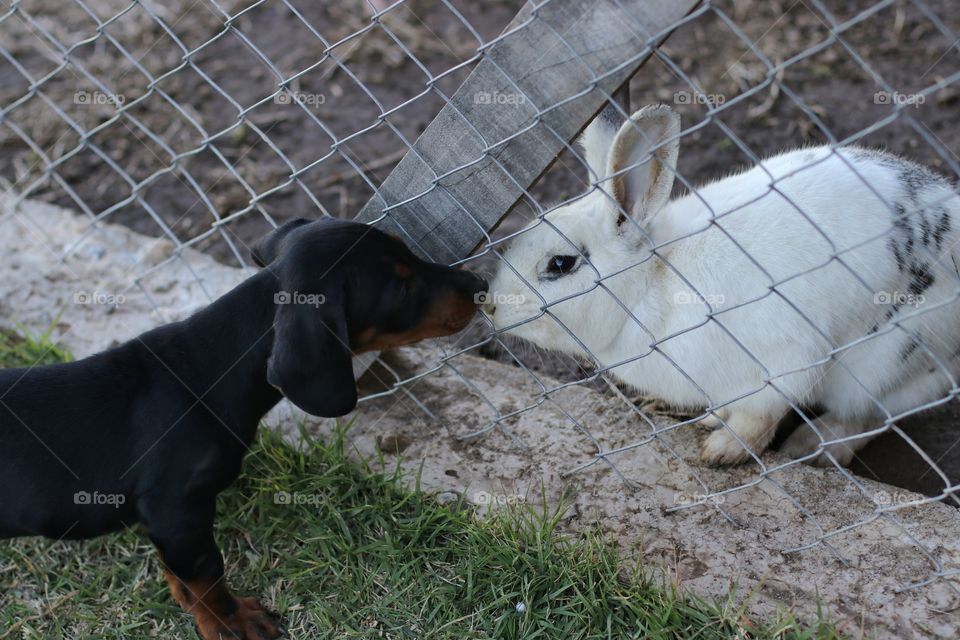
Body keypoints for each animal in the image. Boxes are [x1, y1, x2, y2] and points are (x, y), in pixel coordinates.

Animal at [0, 218, 484, 636]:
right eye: (402, 286)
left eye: (409, 252)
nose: (479, 286)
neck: (207, 368)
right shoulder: (177, 509)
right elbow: (208, 575)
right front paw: (230, 622)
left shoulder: (168, 521)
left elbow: (181, 568)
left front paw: (186, 597)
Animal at [484, 102, 960, 468]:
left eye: (560, 263)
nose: (489, 305)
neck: (654, 280)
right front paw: (713, 422)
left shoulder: (782, 363)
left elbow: (757, 420)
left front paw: (720, 451)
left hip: (883, 362)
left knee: (869, 417)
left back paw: (812, 447)